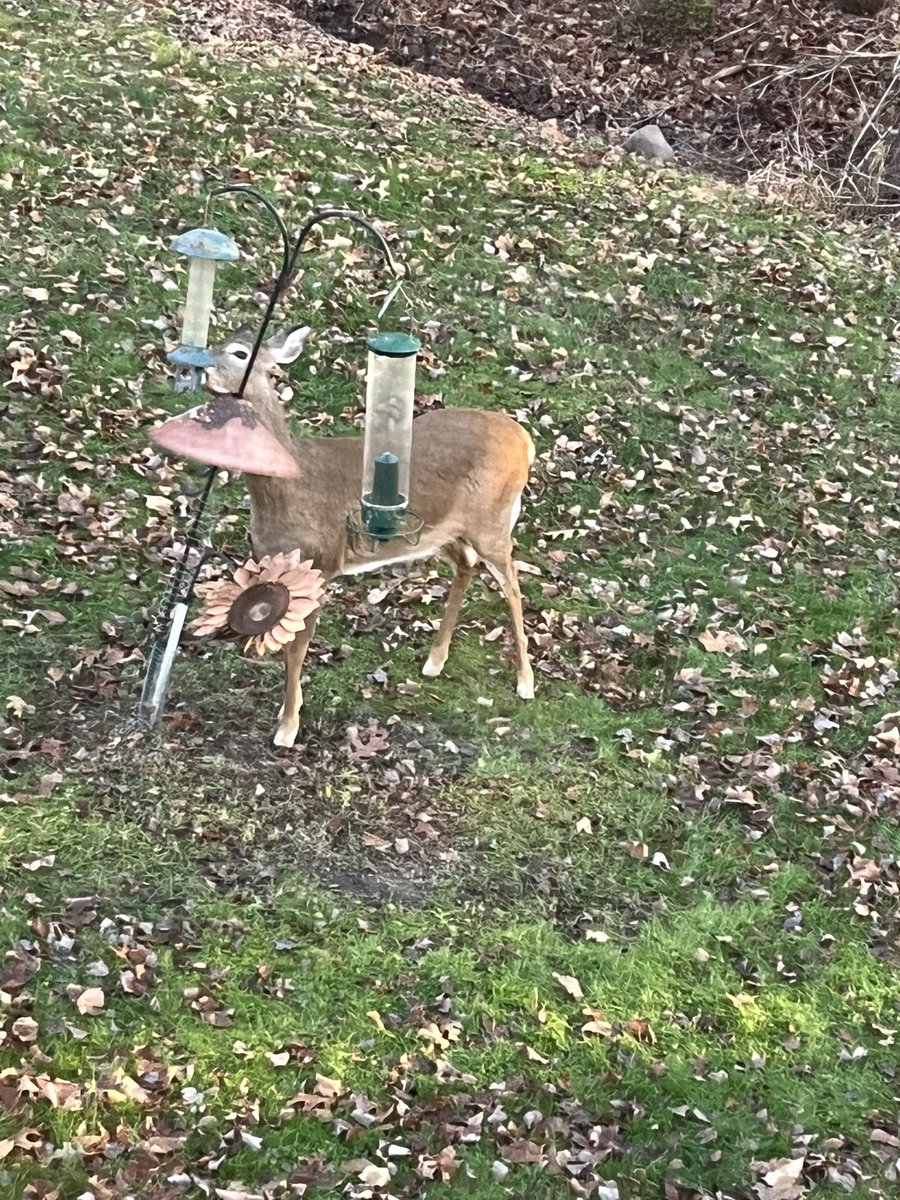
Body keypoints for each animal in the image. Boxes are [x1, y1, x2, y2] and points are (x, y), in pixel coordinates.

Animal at [198, 324, 536, 747]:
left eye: (240, 353)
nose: (200, 368)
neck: (288, 487)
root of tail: (525, 440)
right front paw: (286, 713)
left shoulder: (320, 563)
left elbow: (297, 649)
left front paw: (287, 728)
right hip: (447, 532)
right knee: (467, 566)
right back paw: (434, 661)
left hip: (491, 521)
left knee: (513, 585)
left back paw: (525, 682)